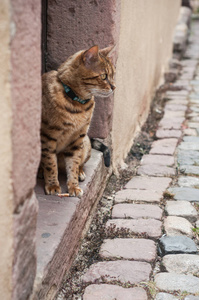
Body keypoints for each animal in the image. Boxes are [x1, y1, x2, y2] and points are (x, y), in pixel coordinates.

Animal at [40, 44, 115, 197]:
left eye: (112, 75)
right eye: (104, 76)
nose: (114, 87)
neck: (77, 104)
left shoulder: (77, 139)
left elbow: (73, 164)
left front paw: (73, 186)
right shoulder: (47, 137)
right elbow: (50, 164)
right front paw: (52, 185)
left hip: (85, 143)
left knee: (81, 162)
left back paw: (80, 173)